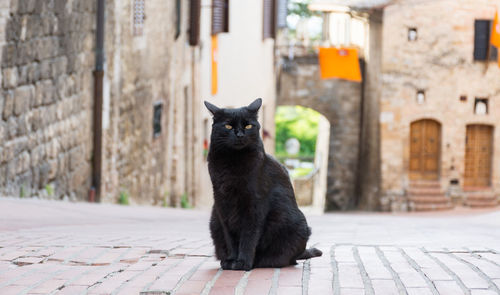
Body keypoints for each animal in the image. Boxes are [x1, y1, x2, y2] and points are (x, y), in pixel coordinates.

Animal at [205, 99, 322, 270]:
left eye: (248, 126)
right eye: (228, 126)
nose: (240, 134)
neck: (233, 161)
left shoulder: (254, 204)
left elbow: (249, 236)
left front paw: (243, 262)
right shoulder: (221, 203)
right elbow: (230, 236)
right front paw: (231, 260)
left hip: (298, 226)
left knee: (289, 259)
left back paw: (263, 261)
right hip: (214, 221)